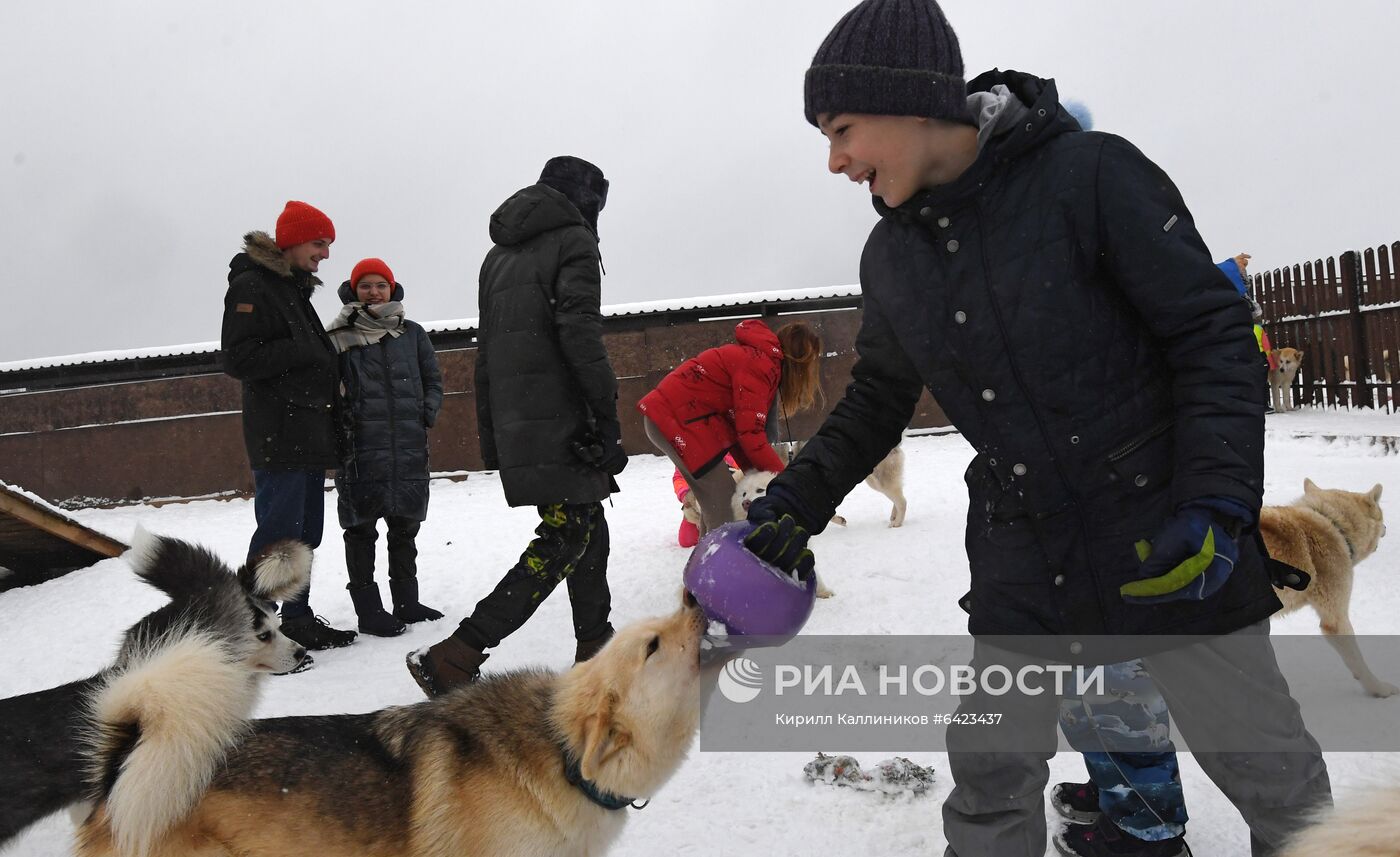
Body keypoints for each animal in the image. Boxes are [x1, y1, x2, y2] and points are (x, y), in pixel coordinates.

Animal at [1265, 478, 1394, 700]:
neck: (1335, 526)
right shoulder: (1336, 620)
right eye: (1381, 516)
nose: (1386, 527)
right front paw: (1380, 690)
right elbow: (1359, 663)